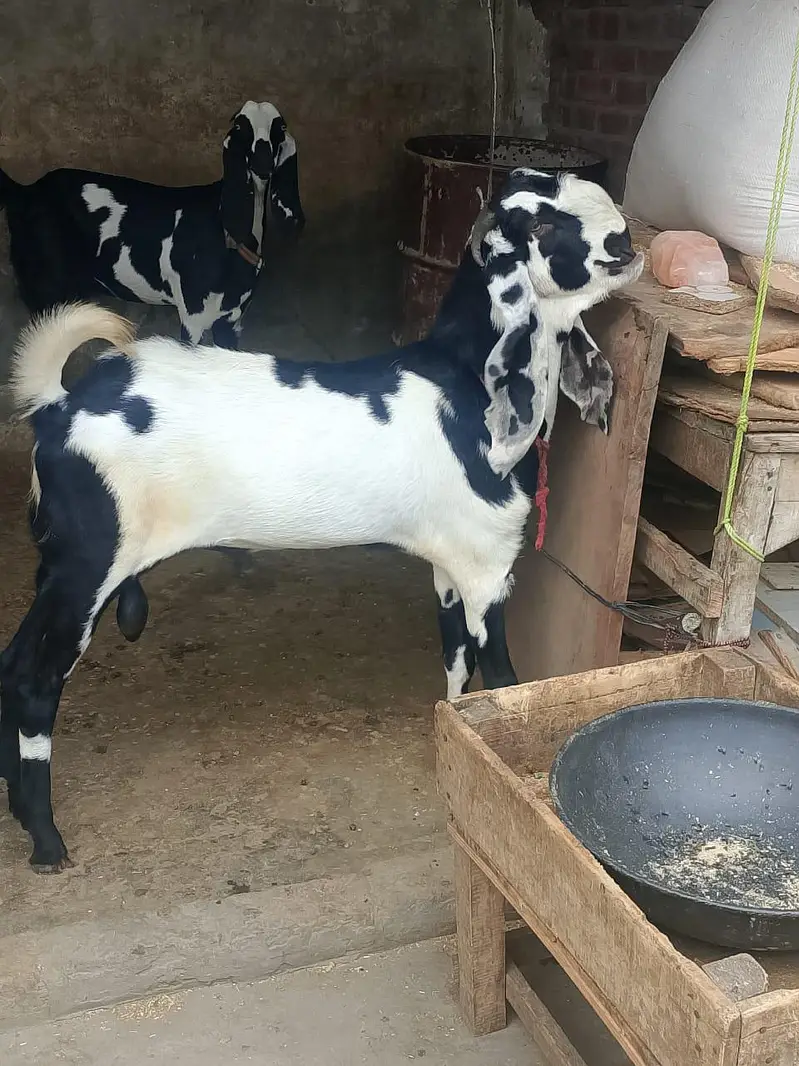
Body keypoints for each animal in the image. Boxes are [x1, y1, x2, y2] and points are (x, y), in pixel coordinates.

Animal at [0, 101, 304, 349]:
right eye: (240, 125)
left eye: (280, 126)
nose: (262, 164)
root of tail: (24, 192)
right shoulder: (193, 316)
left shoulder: (231, 319)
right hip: (43, 287)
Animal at [0, 167, 642, 872]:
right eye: (541, 222)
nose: (625, 238)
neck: (464, 384)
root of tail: (58, 406)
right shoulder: (487, 566)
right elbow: (498, 680)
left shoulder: (450, 564)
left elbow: (457, 672)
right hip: (90, 564)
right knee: (32, 681)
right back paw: (46, 840)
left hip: (59, 562)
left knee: (10, 665)